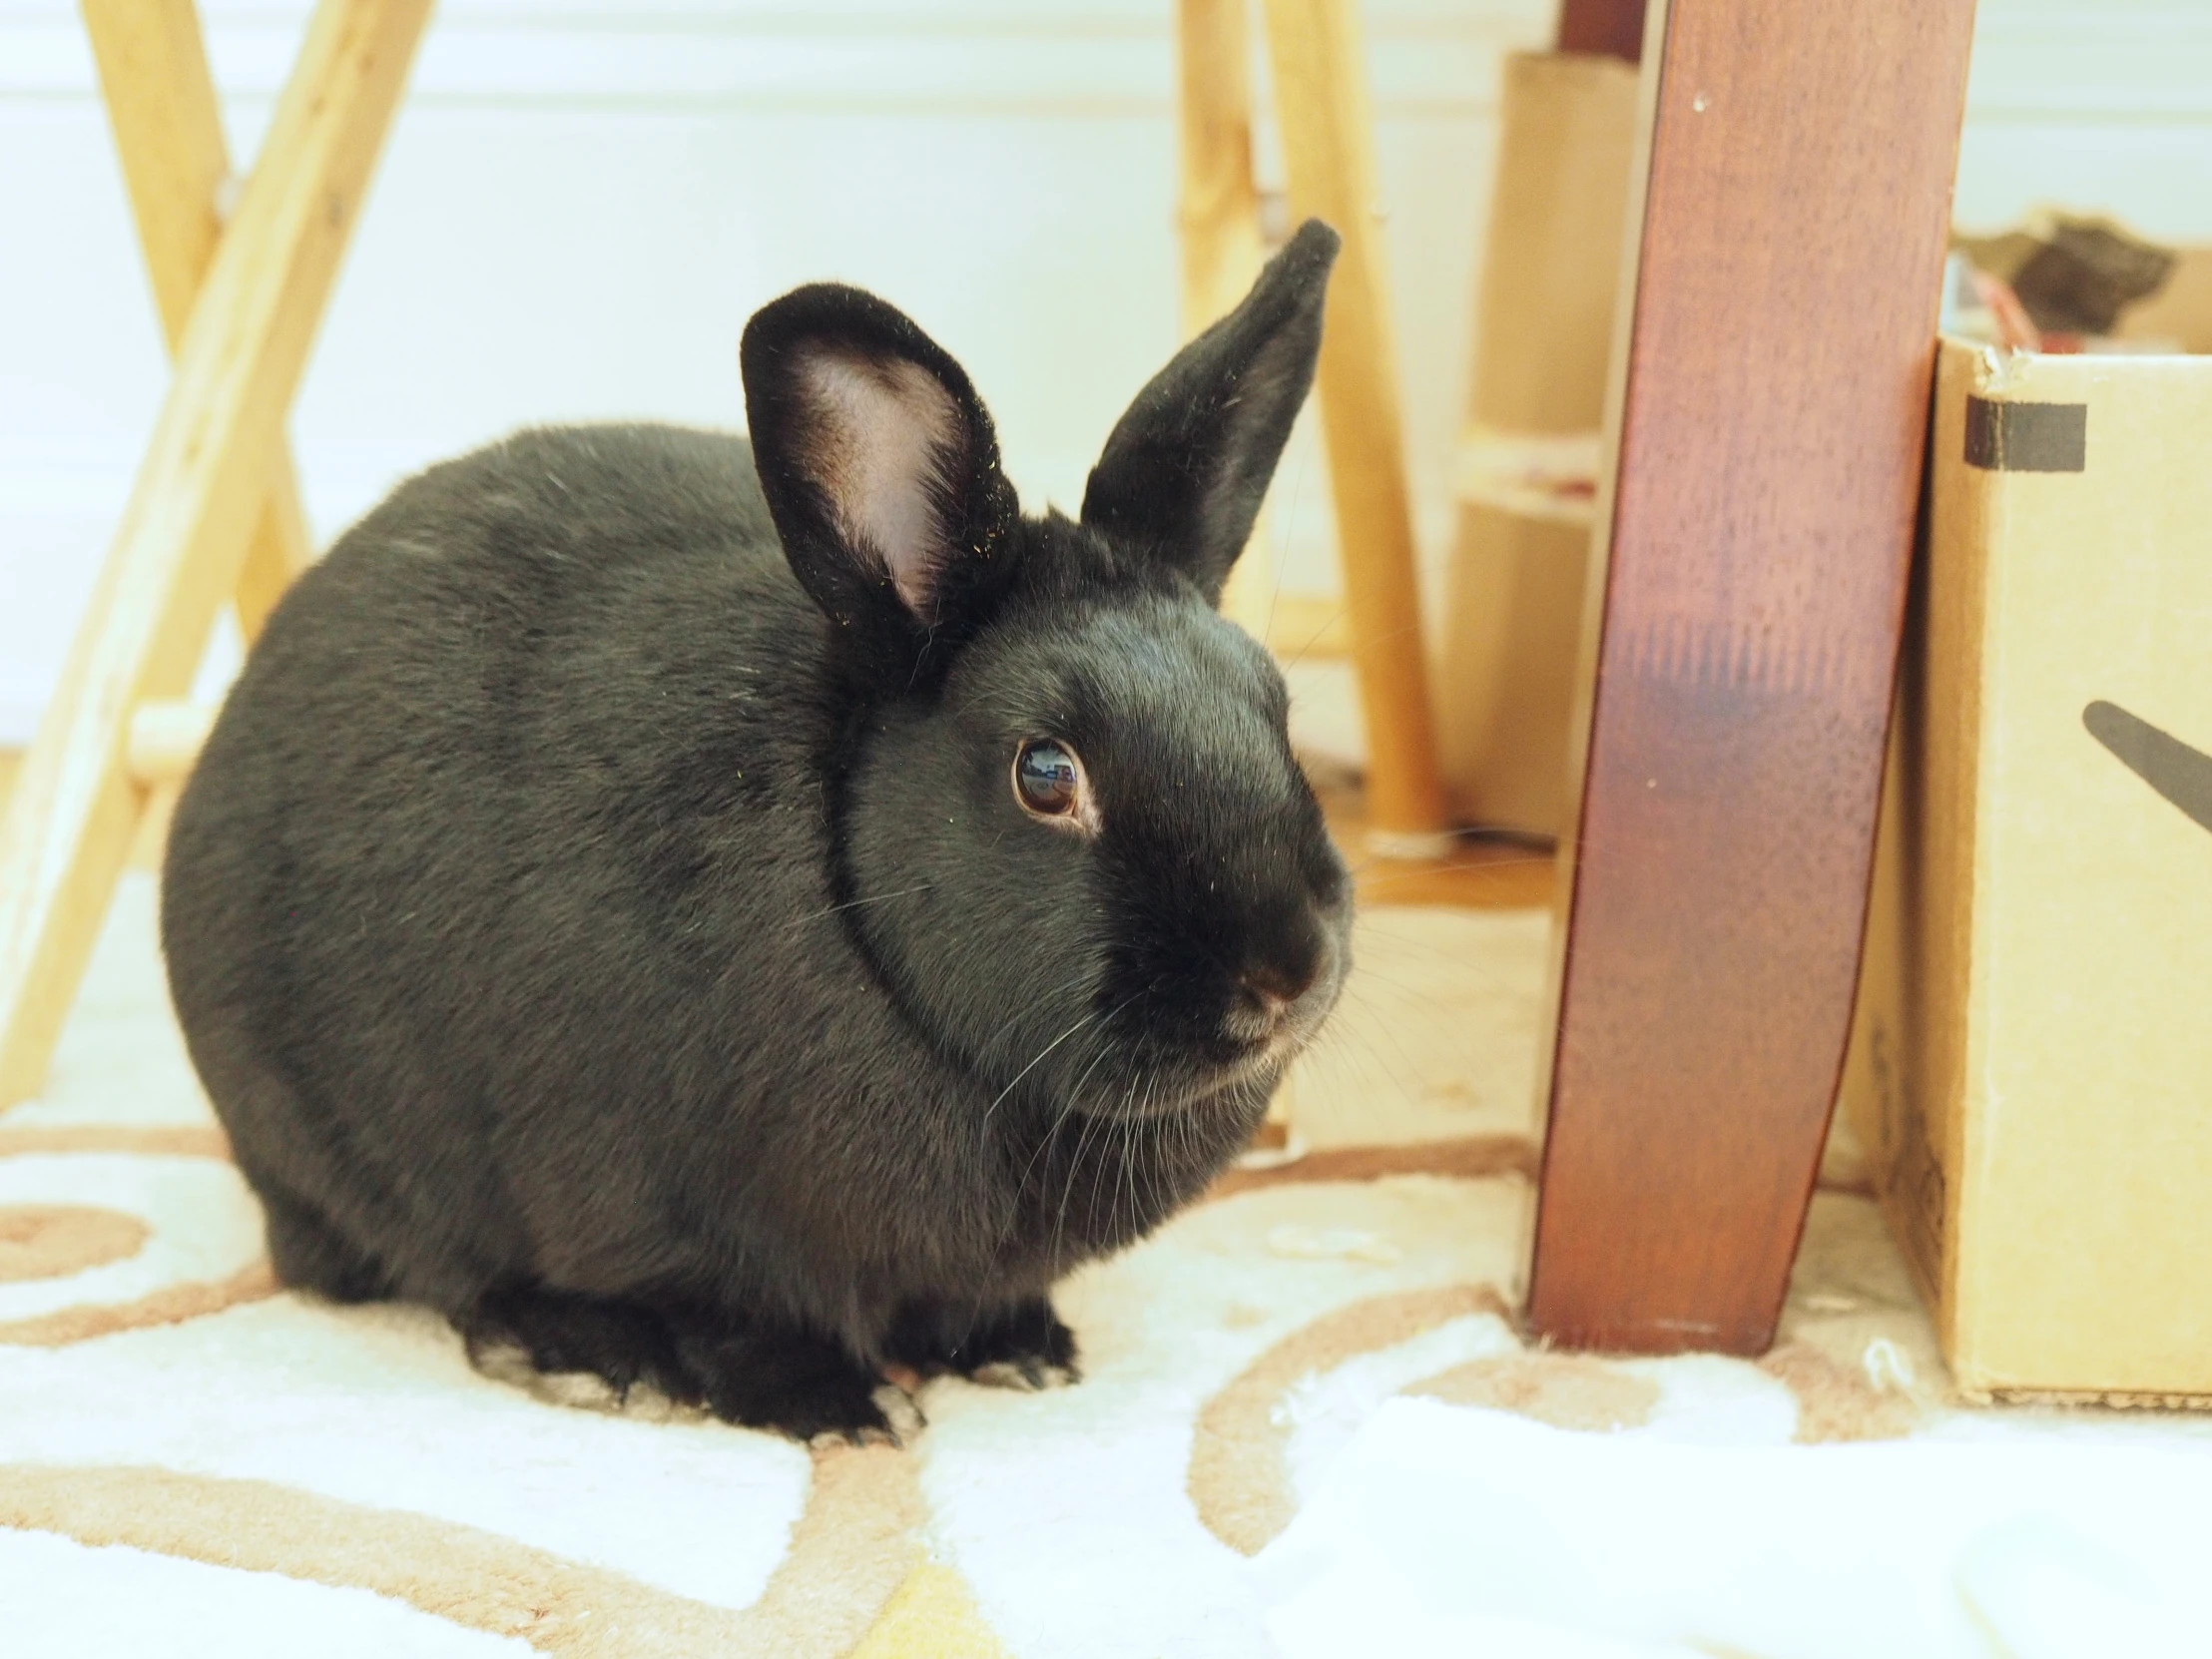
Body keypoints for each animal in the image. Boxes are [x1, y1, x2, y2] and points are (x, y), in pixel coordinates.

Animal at [160, 221, 1345, 1441]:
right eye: (1046, 774)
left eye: (1273, 708)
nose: (1285, 974)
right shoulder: (675, 1222)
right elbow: (743, 1325)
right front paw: (844, 1409)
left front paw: (1021, 1352)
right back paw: (582, 1355)